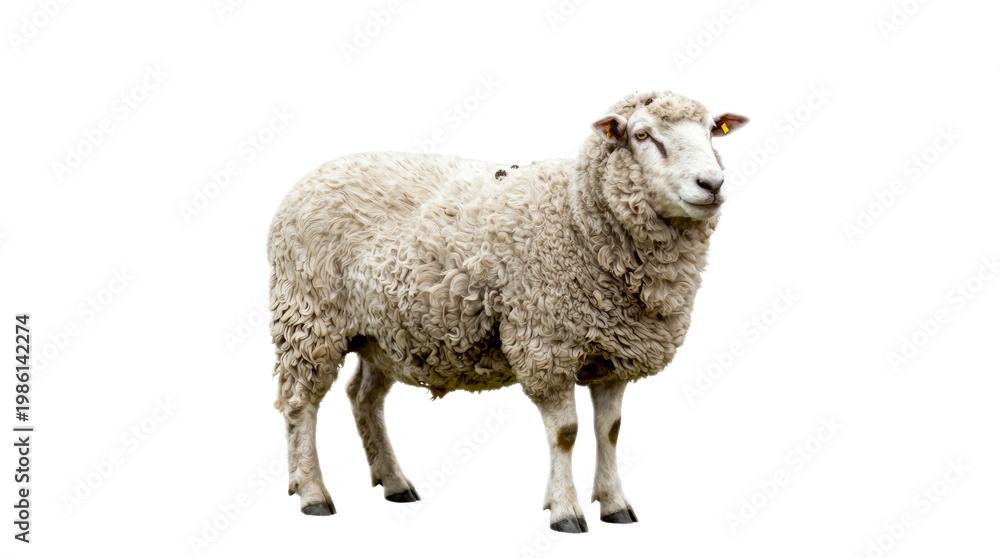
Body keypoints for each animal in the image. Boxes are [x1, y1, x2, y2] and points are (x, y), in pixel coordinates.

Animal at [268, 90, 748, 532]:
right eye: (643, 135)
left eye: (711, 131)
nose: (712, 184)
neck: (577, 215)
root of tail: (313, 175)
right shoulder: (547, 345)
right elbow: (567, 433)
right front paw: (566, 511)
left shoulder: (614, 353)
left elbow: (609, 430)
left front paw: (614, 505)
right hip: (309, 318)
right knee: (299, 403)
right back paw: (312, 493)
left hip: (382, 332)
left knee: (363, 397)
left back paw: (394, 482)